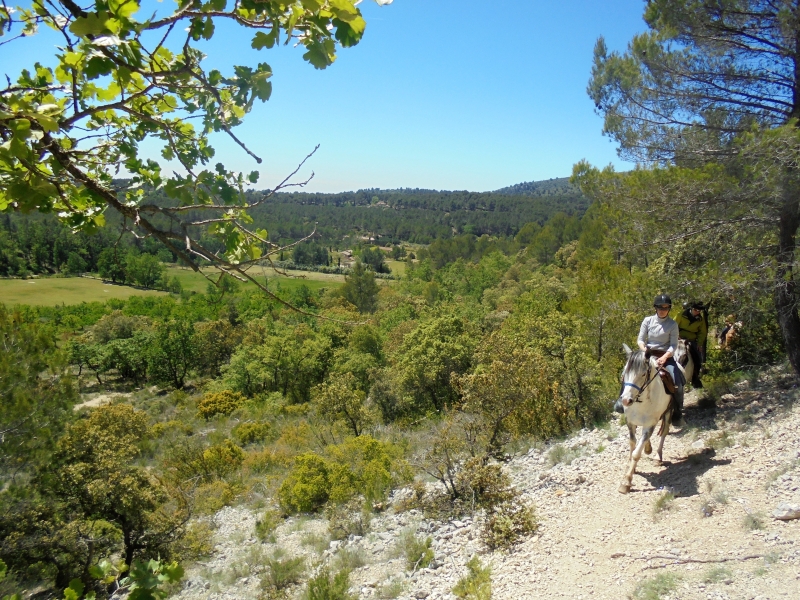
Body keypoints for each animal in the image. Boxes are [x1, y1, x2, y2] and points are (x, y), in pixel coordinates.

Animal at [620, 344, 676, 494]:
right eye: (624, 373)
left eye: (643, 374)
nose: (626, 400)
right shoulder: (630, 423)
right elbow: (632, 445)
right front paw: (631, 467)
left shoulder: (649, 425)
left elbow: (636, 453)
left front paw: (626, 482)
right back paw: (648, 448)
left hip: (668, 413)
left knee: (664, 432)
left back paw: (658, 457)